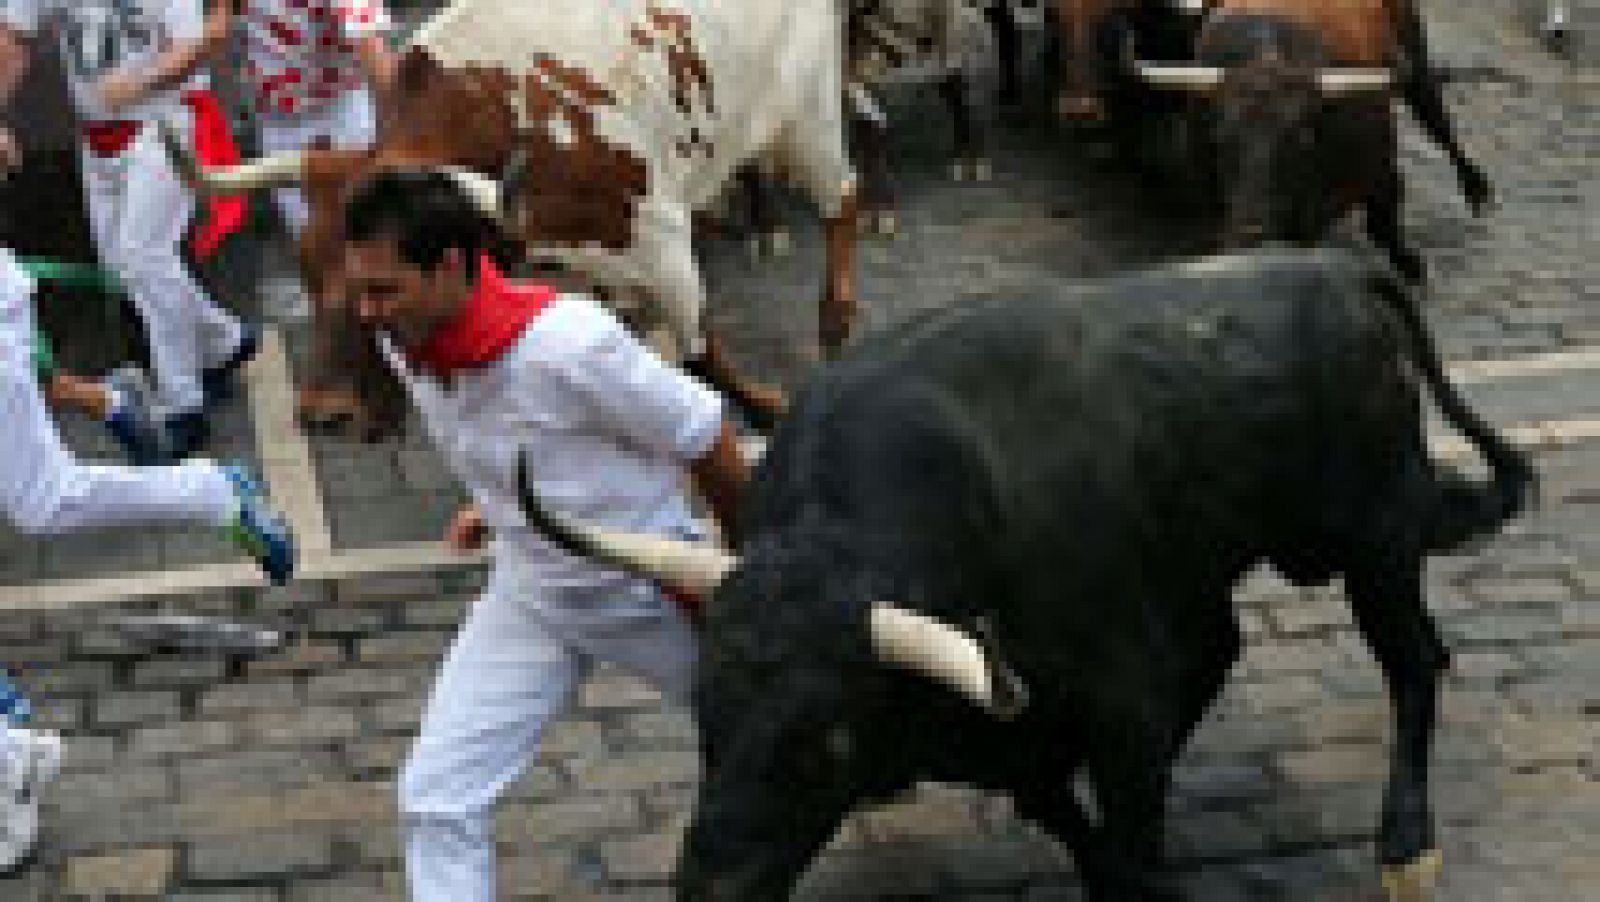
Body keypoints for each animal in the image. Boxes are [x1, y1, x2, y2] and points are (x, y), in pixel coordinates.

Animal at [518, 247, 1529, 902]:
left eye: (825, 742)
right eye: (705, 716)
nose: (707, 886)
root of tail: (1337, 266)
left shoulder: (1120, 693)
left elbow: (1127, 844)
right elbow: (1064, 812)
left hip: (1377, 538)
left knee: (1413, 661)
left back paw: (1406, 848)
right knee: (1224, 650)